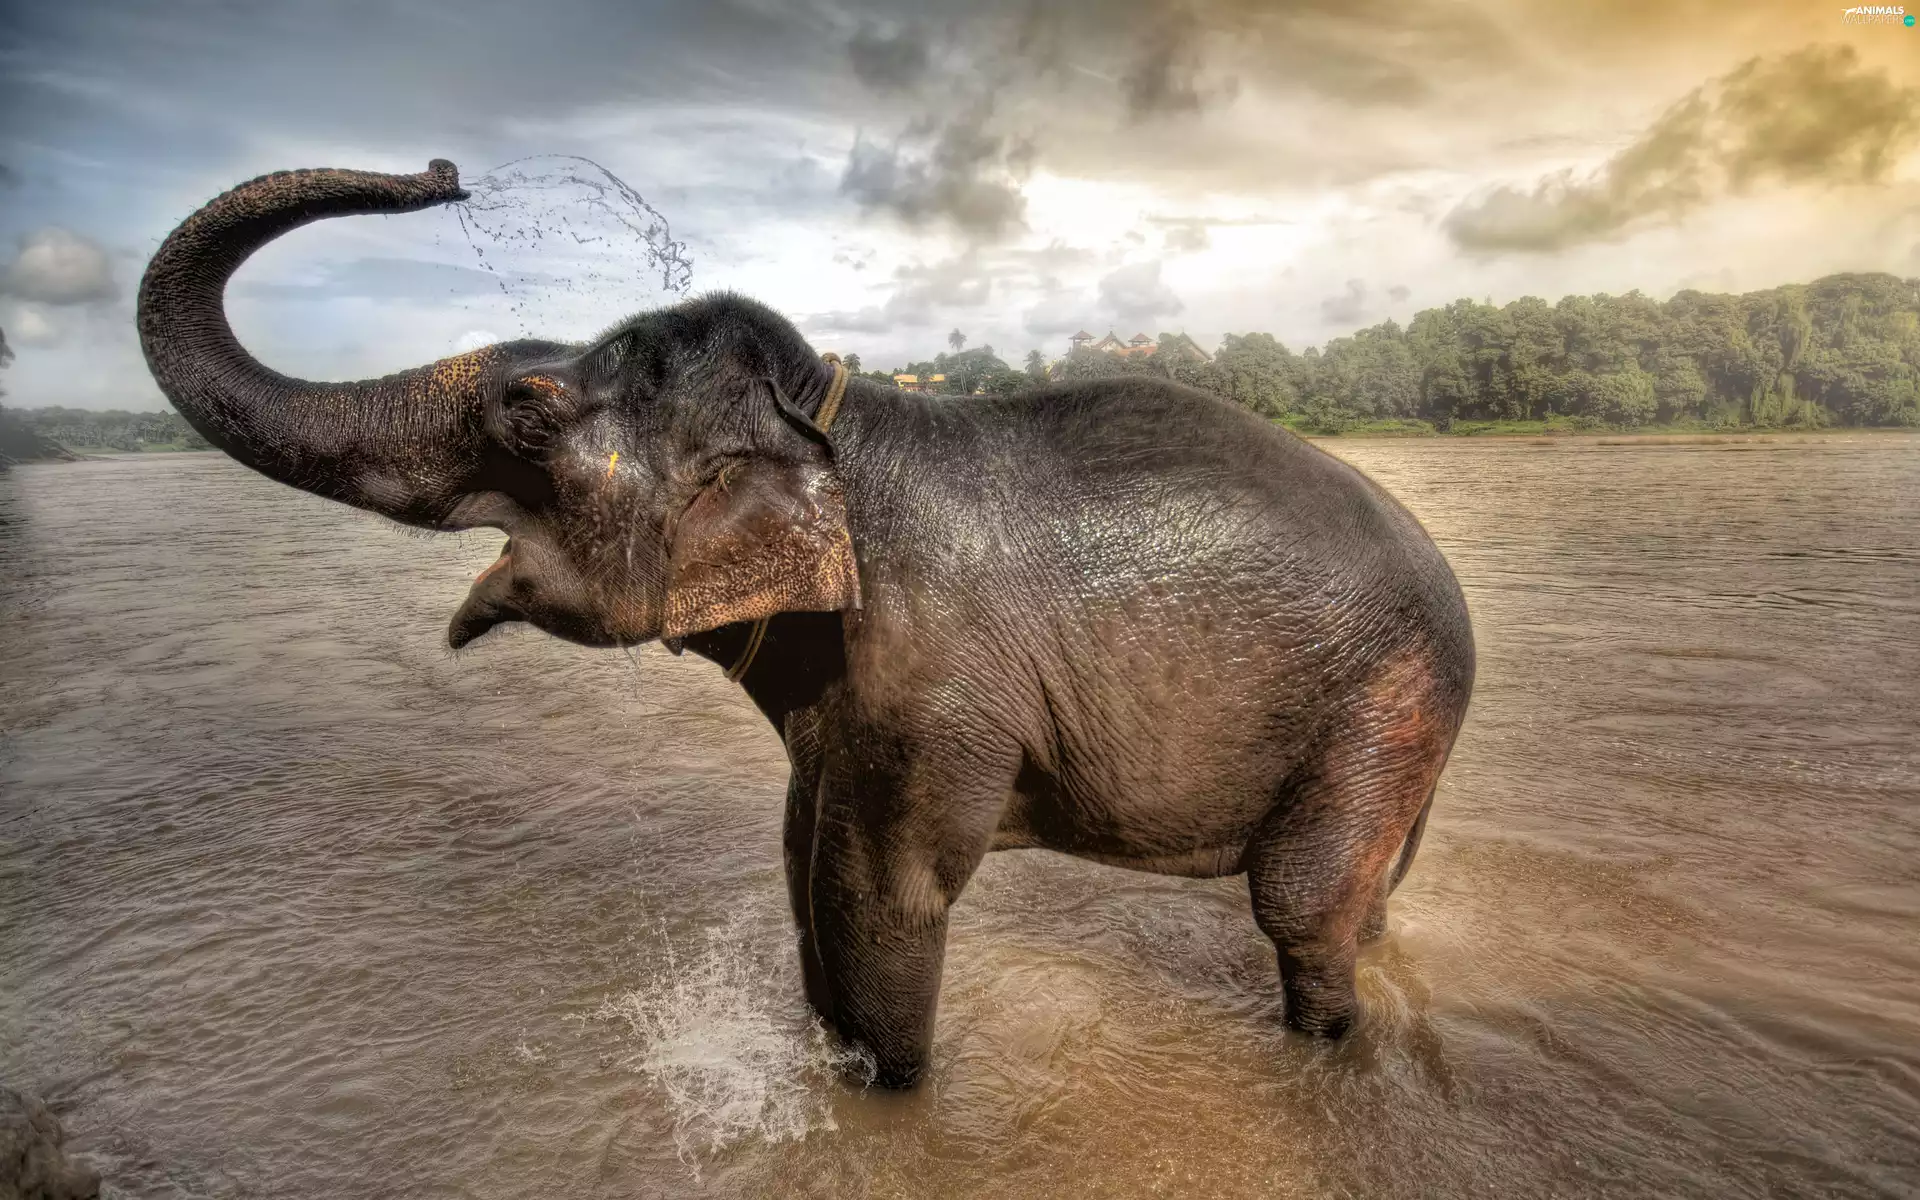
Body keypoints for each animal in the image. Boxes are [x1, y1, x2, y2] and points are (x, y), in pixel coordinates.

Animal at [137, 160, 1475, 1088]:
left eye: (527, 413)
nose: (445, 172)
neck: (834, 415)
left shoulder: (933, 682)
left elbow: (879, 900)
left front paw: (887, 1101)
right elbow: (801, 870)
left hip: (1385, 699)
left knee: (1299, 903)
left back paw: (1325, 1052)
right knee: (1362, 892)